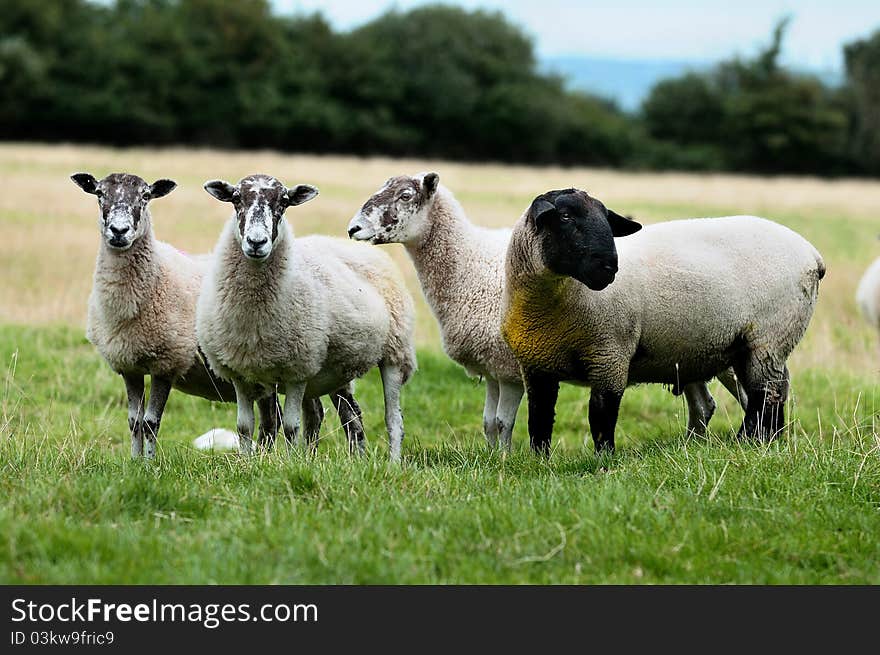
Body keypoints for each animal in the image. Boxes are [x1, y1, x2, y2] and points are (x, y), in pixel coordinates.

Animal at [70, 172, 280, 458]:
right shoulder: (129, 364)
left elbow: (150, 422)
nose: (118, 231)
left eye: (145, 196)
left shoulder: (167, 361)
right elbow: (134, 421)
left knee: (278, 419)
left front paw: (149, 462)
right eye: (100, 193)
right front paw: (134, 461)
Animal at [198, 174, 418, 462]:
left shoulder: (298, 370)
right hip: (335, 369)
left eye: (284, 202)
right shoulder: (241, 373)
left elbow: (291, 427)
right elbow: (244, 426)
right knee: (348, 415)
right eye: (236, 199)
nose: (256, 242)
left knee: (393, 419)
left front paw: (290, 464)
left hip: (395, 352)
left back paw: (392, 463)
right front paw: (247, 463)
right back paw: (351, 461)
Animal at [344, 172, 524, 452]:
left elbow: (503, 423)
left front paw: (507, 458)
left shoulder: (509, 367)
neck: (471, 264)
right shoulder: (492, 362)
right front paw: (493, 457)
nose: (354, 228)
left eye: (405, 196)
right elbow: (489, 423)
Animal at [502, 188, 824, 456]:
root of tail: (812, 255)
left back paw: (748, 441)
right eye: (565, 217)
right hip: (748, 347)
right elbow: (539, 418)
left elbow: (601, 414)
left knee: (765, 393)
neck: (549, 306)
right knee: (773, 391)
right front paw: (539, 460)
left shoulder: (610, 355)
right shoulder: (536, 365)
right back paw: (768, 440)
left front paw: (604, 459)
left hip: (768, 338)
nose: (609, 266)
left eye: (606, 220)